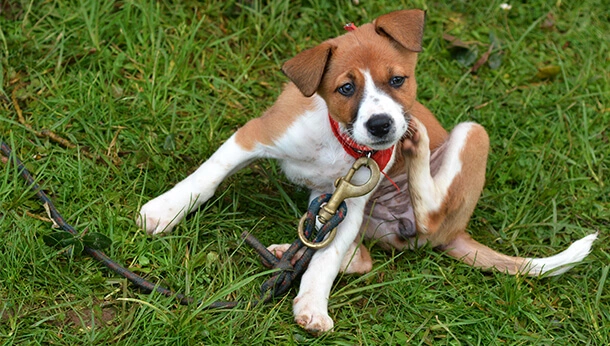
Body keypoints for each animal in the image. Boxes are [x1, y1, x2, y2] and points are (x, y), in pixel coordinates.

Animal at [137, 9, 592, 334]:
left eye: (398, 80)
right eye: (345, 88)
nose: (382, 126)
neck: (339, 140)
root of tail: (457, 233)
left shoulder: (350, 203)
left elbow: (324, 263)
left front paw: (312, 304)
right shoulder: (256, 137)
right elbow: (206, 177)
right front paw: (164, 211)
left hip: (469, 138)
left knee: (425, 215)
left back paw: (416, 147)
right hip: (345, 210)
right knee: (361, 257)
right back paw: (289, 253)